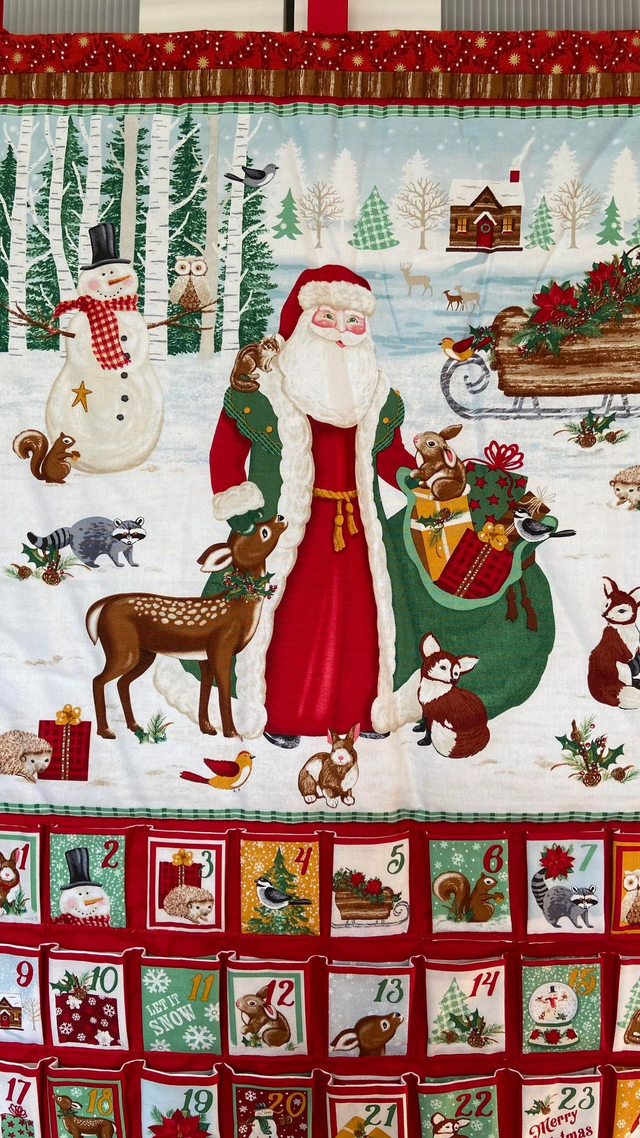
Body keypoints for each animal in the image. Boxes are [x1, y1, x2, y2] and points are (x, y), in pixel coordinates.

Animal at [86, 515, 287, 740]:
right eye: (263, 532)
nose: (280, 517)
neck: (236, 609)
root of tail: (103, 606)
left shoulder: (204, 657)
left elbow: (206, 688)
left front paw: (207, 728)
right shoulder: (221, 646)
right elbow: (224, 688)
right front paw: (232, 733)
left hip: (144, 654)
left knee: (122, 682)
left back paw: (135, 726)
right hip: (121, 648)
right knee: (97, 680)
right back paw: (106, 731)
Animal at [587, 577, 640, 709]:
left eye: (621, 610)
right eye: (607, 604)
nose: (605, 613)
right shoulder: (616, 643)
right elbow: (626, 655)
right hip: (621, 670)